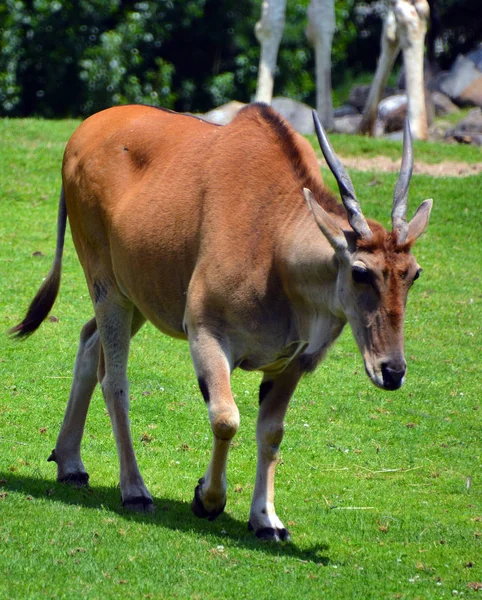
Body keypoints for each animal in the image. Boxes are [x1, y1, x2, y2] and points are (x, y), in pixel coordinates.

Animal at [11, 103, 434, 544]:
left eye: (413, 273)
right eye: (359, 271)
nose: (392, 371)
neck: (274, 238)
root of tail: (82, 134)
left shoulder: (292, 363)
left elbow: (271, 431)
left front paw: (267, 520)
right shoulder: (206, 334)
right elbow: (226, 418)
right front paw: (208, 499)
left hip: (136, 297)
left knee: (88, 341)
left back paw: (70, 464)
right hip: (107, 287)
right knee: (114, 381)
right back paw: (135, 490)